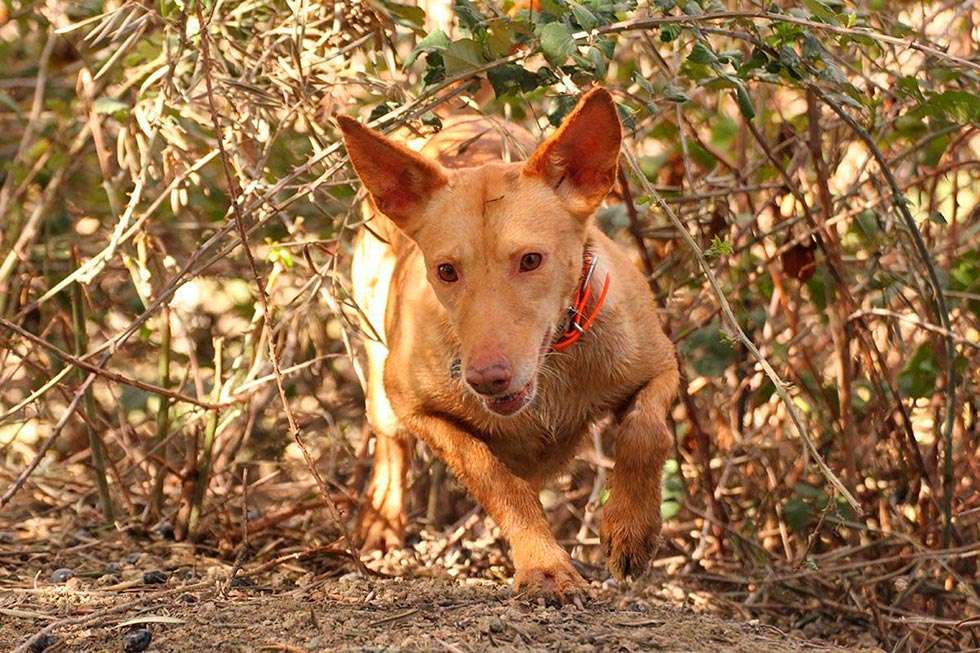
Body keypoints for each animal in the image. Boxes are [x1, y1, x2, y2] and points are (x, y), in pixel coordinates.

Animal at [340, 88, 676, 600]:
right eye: (446, 270)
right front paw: (545, 565)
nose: (486, 379)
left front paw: (631, 527)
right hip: (380, 379)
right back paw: (383, 520)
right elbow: (494, 476)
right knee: (392, 447)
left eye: (531, 260)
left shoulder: (660, 364)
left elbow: (646, 430)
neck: (553, 366)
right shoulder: (414, 405)